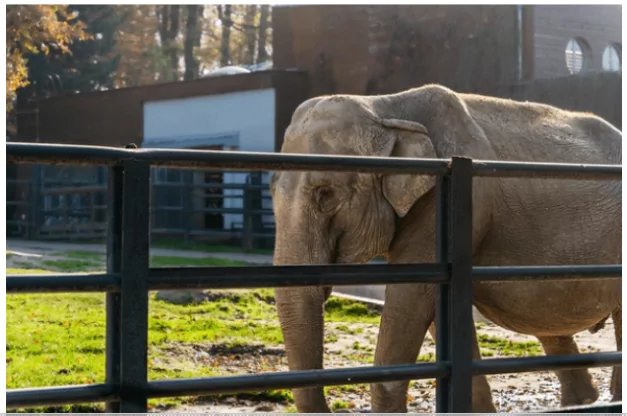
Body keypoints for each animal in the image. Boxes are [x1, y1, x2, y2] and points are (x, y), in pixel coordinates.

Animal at [272, 84, 624, 412]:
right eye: (272, 192)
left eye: (325, 194)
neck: (385, 108)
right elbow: (436, 304)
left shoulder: (444, 206)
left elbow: (410, 299)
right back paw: (583, 401)